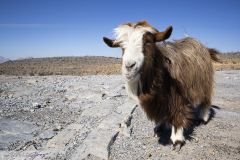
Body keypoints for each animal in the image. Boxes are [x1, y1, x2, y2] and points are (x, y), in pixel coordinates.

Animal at [103, 20, 218, 149]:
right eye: (121, 46)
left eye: (148, 42)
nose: (129, 66)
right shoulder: (159, 100)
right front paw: (159, 127)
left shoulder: (177, 96)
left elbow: (178, 113)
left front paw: (177, 140)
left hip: (205, 81)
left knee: (206, 99)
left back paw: (203, 118)